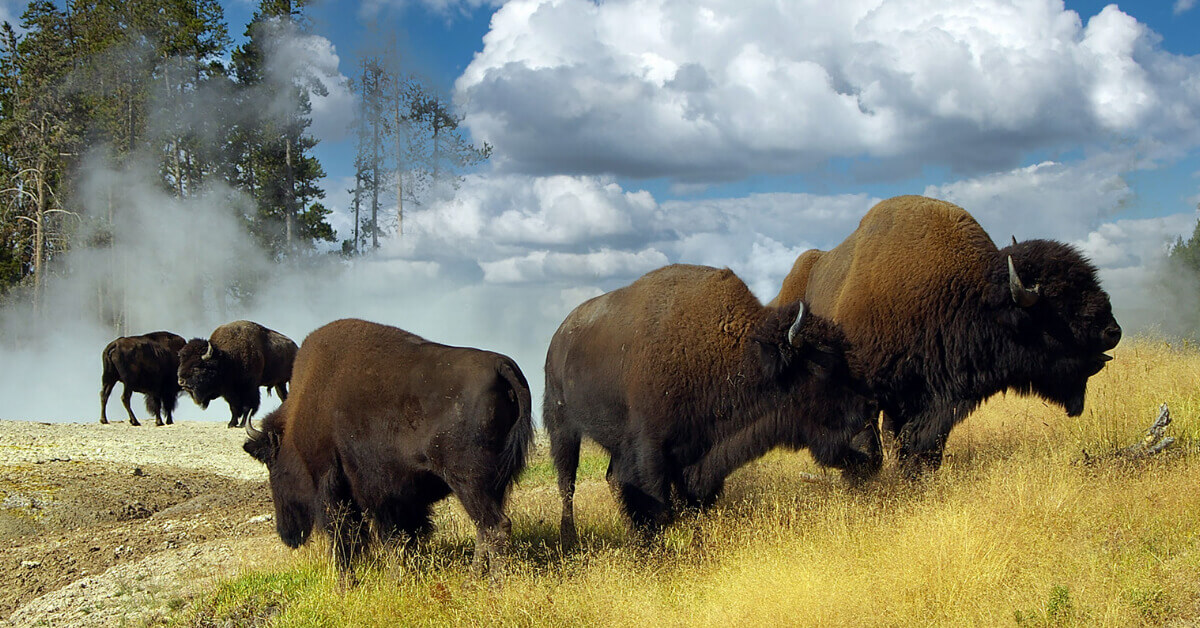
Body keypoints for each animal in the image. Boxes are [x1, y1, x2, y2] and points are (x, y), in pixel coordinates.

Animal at [243, 318, 533, 577]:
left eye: (271, 464)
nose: (287, 534)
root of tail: (500, 365)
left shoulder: (335, 488)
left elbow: (348, 537)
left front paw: (347, 583)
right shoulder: (393, 498)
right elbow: (398, 539)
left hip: (469, 483)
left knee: (495, 527)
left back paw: (489, 582)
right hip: (491, 486)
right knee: (485, 529)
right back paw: (474, 578)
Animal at [545, 264, 877, 546]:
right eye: (824, 368)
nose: (870, 450)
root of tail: (560, 336)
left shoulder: (700, 458)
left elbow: (694, 506)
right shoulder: (650, 450)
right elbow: (658, 508)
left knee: (610, 480)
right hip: (562, 428)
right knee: (567, 484)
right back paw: (569, 537)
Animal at [771, 195, 1122, 476]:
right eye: (1061, 299)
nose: (1113, 331)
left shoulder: (928, 399)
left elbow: (917, 446)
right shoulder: (867, 394)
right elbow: (872, 447)